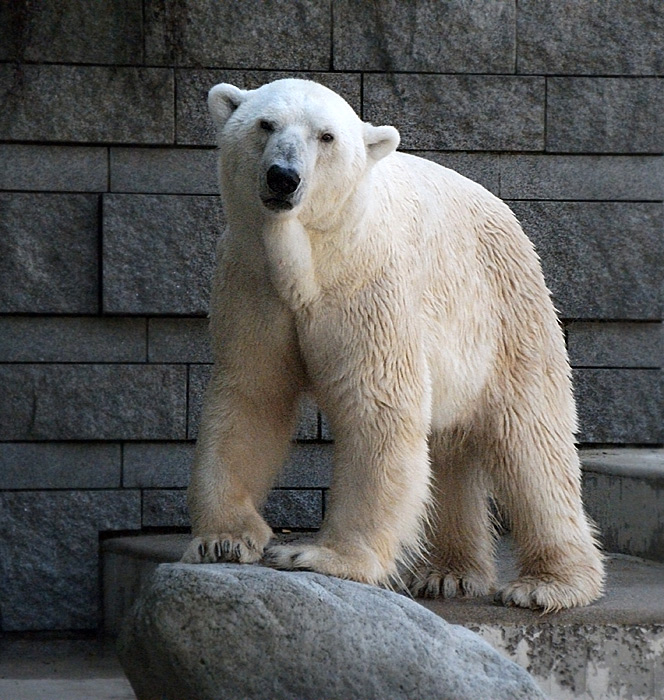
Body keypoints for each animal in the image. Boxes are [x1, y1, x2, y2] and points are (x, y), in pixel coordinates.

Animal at [180, 79, 600, 608]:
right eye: (265, 124)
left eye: (326, 136)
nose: (283, 177)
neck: (313, 259)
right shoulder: (252, 284)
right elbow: (252, 394)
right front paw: (224, 540)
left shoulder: (369, 287)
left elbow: (377, 404)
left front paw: (320, 556)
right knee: (451, 447)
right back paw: (448, 573)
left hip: (506, 316)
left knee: (532, 442)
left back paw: (549, 584)